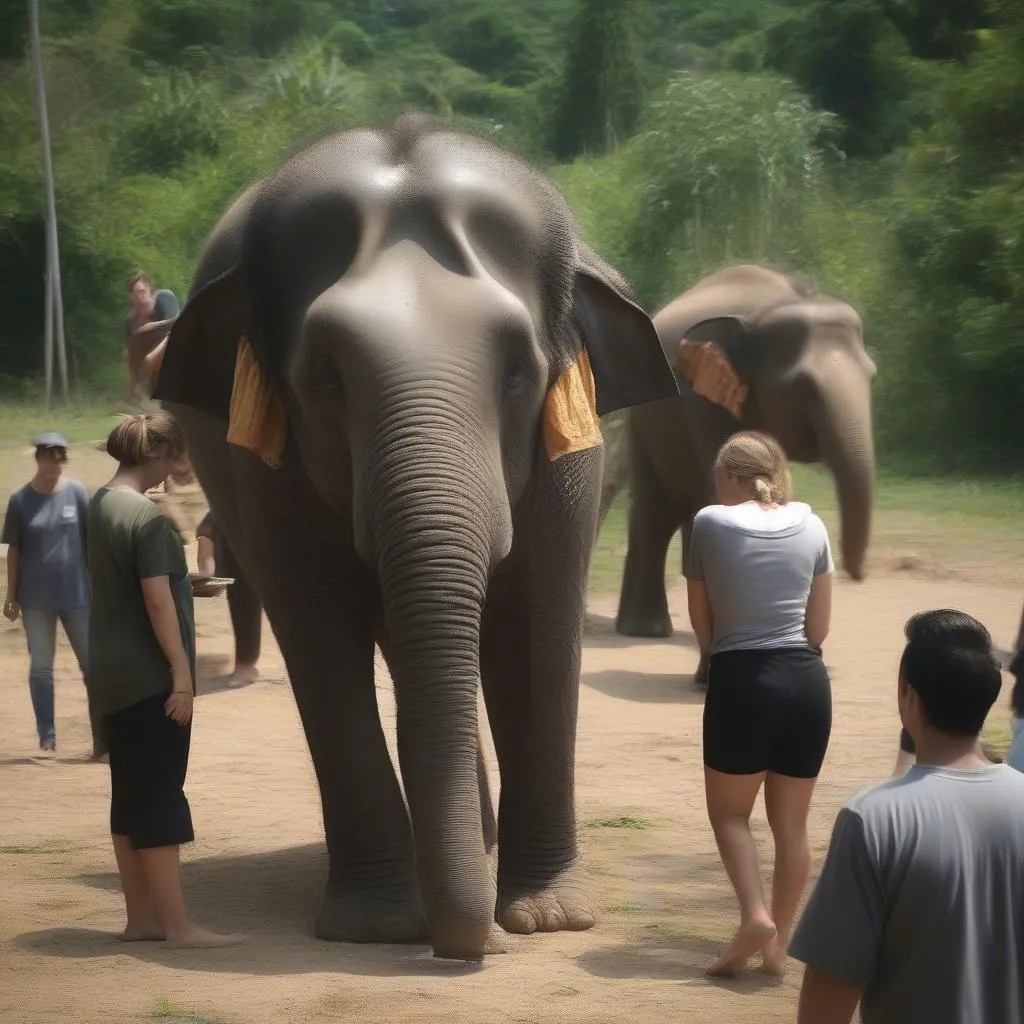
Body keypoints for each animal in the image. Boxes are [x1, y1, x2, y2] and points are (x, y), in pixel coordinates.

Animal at [151, 114, 679, 958]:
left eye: (518, 373)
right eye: (327, 377)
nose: (475, 946)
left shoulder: (573, 454)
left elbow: (538, 630)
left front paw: (548, 918)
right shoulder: (265, 475)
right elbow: (318, 635)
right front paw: (377, 928)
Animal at [610, 262, 876, 663]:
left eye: (872, 376)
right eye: (802, 387)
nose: (854, 574)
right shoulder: (701, 399)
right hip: (643, 422)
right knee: (655, 515)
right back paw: (646, 631)